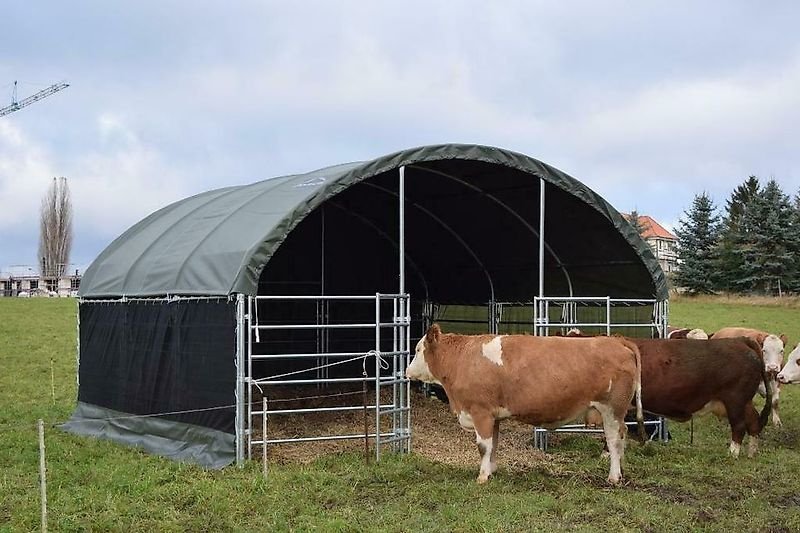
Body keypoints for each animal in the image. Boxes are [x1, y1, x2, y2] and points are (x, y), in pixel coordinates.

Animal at [406, 322, 644, 484]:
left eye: (417, 350)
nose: (406, 371)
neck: (463, 358)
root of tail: (616, 340)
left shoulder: (480, 412)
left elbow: (483, 446)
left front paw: (482, 477)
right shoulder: (494, 416)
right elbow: (494, 444)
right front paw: (492, 471)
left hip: (612, 410)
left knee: (614, 440)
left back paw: (613, 476)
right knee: (621, 438)